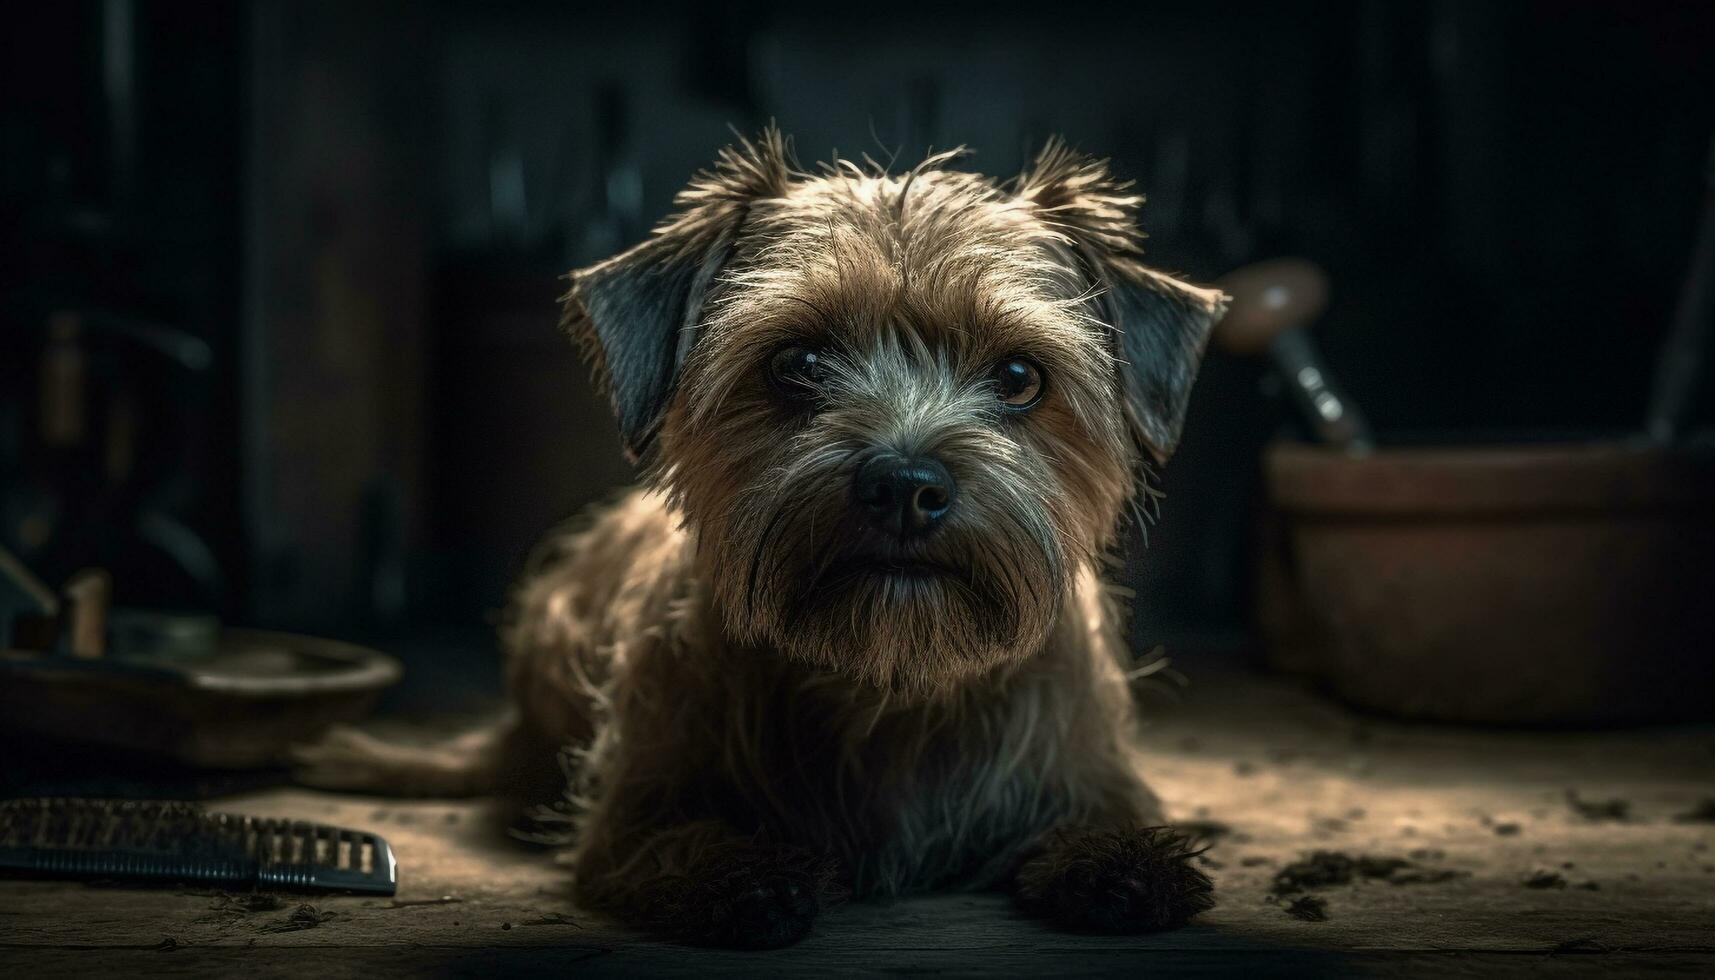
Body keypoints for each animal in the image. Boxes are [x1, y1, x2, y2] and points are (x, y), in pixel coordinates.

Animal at [301, 130, 1227, 954]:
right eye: (798, 363)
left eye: (1018, 376)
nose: (903, 484)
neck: (888, 684)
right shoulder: (631, 811)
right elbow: (676, 839)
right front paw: (738, 874)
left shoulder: (1090, 775)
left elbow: (1106, 824)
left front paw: (1120, 864)